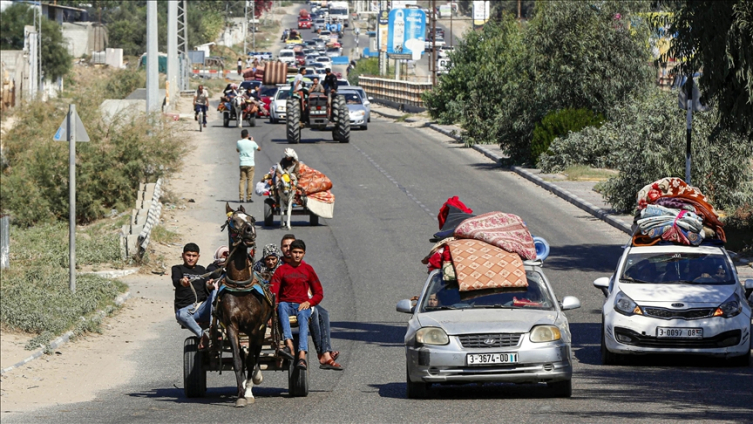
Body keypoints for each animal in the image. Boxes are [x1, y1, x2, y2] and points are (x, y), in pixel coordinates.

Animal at [217, 203, 274, 408]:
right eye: (234, 221)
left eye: (252, 219)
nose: (250, 231)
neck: (241, 286)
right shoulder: (232, 326)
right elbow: (237, 360)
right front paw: (241, 393)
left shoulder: (256, 328)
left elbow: (251, 359)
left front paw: (248, 391)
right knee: (245, 354)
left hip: (261, 329)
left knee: (255, 354)